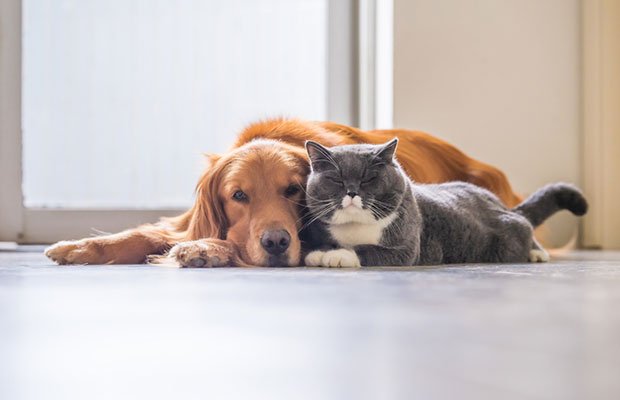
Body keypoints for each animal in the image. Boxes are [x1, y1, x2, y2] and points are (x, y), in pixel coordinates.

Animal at [44, 117, 520, 268]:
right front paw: (79, 247)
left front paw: (206, 249)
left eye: (293, 190)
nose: (275, 242)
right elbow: (146, 233)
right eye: (238, 196)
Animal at [302, 139, 588, 268]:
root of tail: (499, 204)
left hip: (508, 237)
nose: (351, 192)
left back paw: (537, 253)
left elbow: (365, 249)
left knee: (525, 226)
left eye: (368, 178)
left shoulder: (406, 249)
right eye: (336, 180)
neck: (355, 227)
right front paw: (320, 252)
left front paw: (336, 255)